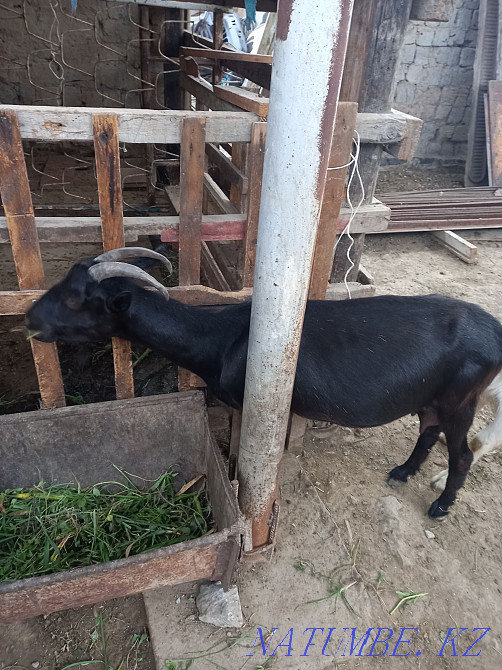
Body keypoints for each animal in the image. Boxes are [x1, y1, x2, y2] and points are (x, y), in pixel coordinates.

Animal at [26, 248, 502, 519]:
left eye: (75, 299)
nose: (31, 318)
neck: (219, 337)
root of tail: (495, 332)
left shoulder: (246, 401)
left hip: (462, 398)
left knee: (461, 454)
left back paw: (440, 505)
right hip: (431, 396)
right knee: (428, 431)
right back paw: (403, 472)